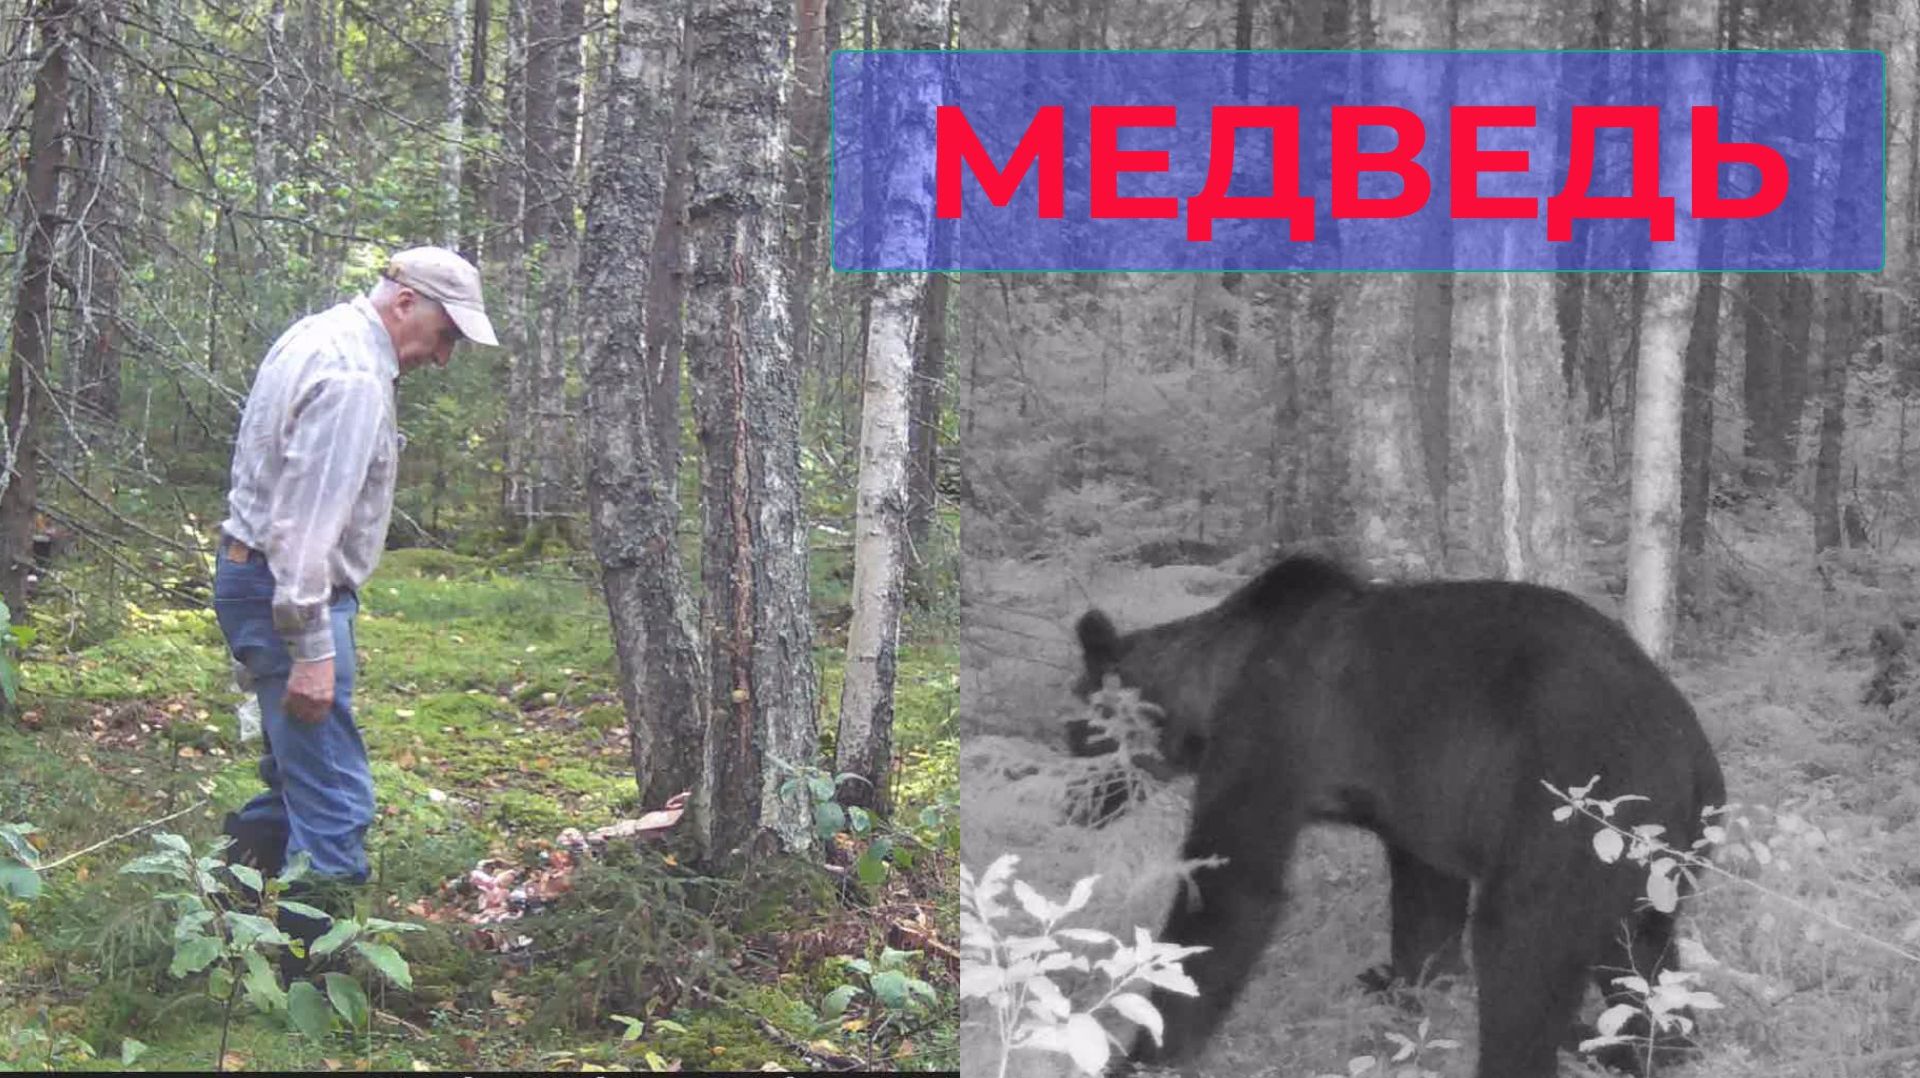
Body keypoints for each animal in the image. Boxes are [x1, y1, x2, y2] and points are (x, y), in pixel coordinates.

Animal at [1069, 555, 1725, 1078]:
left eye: (1076, 734)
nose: (1073, 807)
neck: (1222, 673)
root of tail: (1693, 762)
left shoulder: (1276, 729)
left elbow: (1233, 888)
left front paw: (1142, 1050)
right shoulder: (1423, 793)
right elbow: (1426, 893)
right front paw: (1409, 987)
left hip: (1576, 808)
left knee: (1524, 949)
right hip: (1649, 858)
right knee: (1640, 952)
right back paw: (1641, 1045)